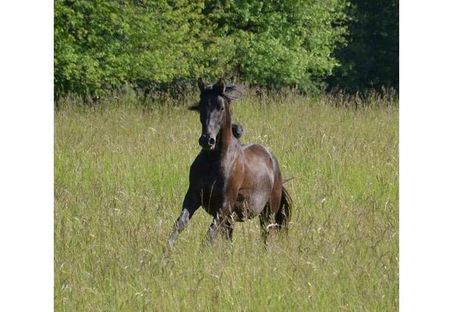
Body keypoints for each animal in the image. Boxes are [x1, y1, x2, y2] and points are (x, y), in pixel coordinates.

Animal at [168, 78, 292, 249]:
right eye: (201, 106)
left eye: (221, 107)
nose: (207, 140)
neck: (213, 162)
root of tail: (273, 162)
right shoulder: (192, 197)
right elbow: (178, 225)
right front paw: (165, 252)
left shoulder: (224, 207)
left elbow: (208, 237)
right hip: (232, 218)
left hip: (267, 212)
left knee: (265, 234)